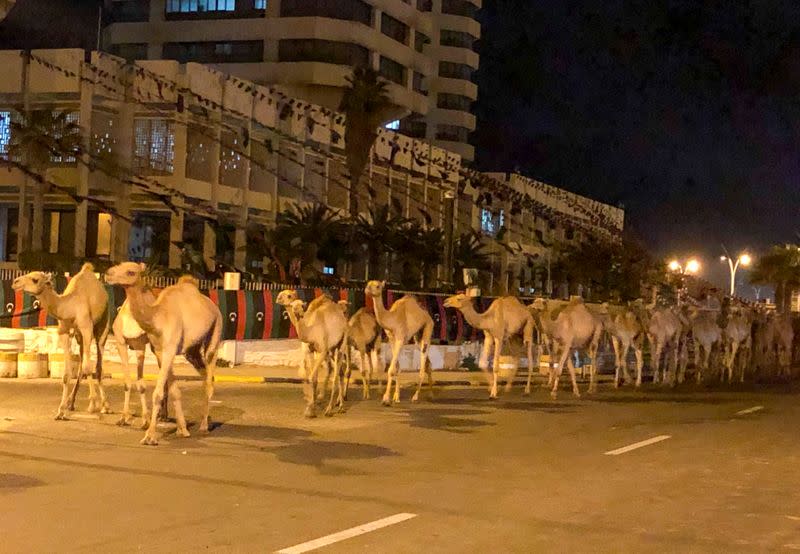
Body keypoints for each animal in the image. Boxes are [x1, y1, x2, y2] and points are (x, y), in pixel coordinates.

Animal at [12, 264, 111, 418]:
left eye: (35, 279)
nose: (15, 282)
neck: (68, 307)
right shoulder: (64, 332)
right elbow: (66, 374)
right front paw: (61, 410)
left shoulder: (86, 328)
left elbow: (88, 367)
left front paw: (92, 404)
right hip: (79, 336)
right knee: (82, 363)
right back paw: (71, 403)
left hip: (102, 325)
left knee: (98, 364)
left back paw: (105, 406)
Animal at [105, 260, 222, 442]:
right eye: (118, 265)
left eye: (131, 272)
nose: (108, 274)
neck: (157, 317)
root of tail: (212, 305)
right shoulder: (160, 350)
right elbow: (173, 390)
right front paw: (182, 429)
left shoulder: (169, 349)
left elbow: (158, 392)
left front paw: (150, 436)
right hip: (192, 350)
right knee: (205, 375)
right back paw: (204, 420)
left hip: (216, 330)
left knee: (210, 374)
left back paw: (204, 426)